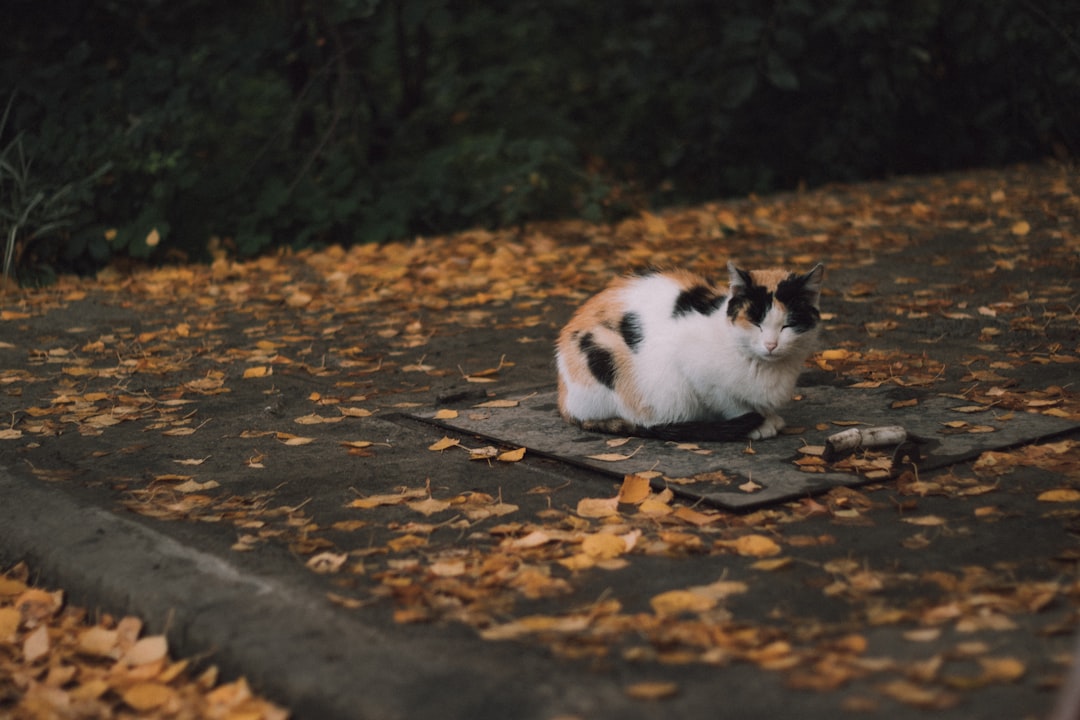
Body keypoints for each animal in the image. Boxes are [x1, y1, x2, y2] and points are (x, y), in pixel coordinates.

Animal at [561, 262, 820, 442]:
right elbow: (730, 403)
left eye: (788, 325)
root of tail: (564, 401)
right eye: (756, 323)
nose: (771, 345)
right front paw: (759, 423)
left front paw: (768, 416)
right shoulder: (696, 373)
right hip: (605, 357)